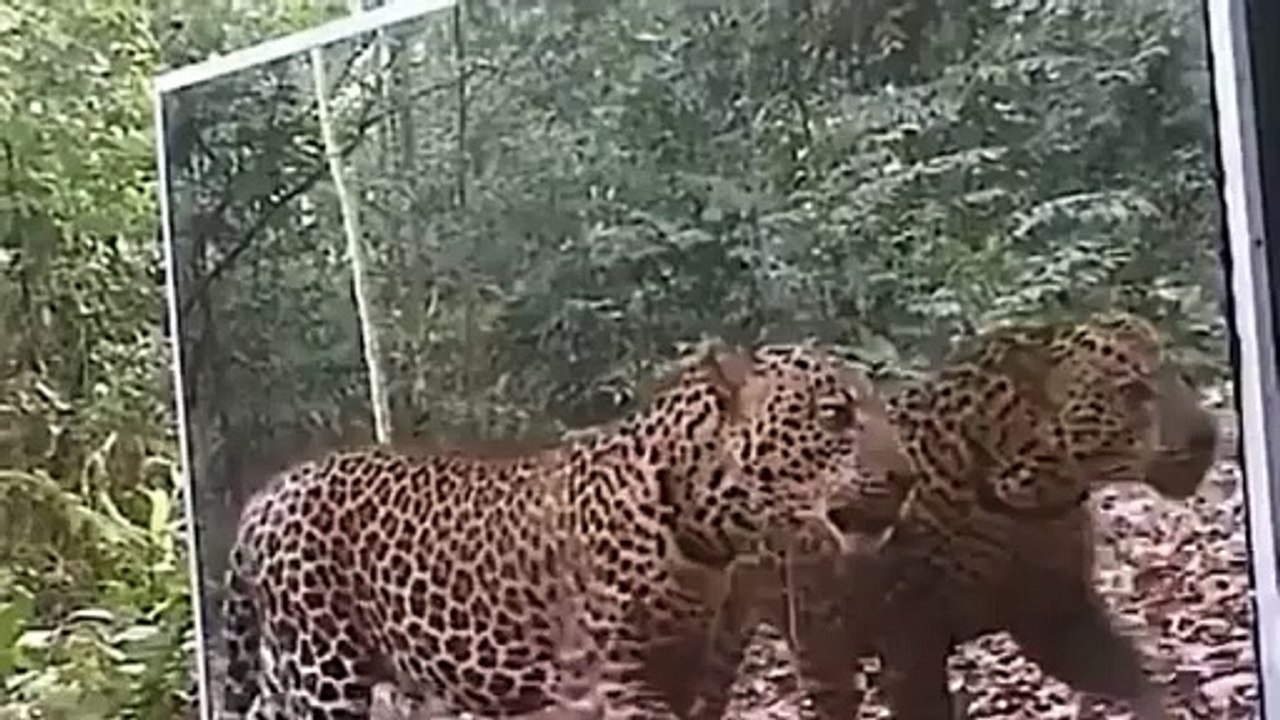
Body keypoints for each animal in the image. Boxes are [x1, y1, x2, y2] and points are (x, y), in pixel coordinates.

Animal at [216, 340, 913, 720]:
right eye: (835, 414)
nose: (906, 476)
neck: (706, 532)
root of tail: (261, 498)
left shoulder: (686, 671)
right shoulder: (615, 680)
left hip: (290, 670)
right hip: (323, 667)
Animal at [678, 312, 1220, 720]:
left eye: (1177, 373)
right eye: (1131, 390)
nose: (1207, 436)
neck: (1031, 497)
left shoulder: (1057, 615)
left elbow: (1130, 679)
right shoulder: (910, 640)